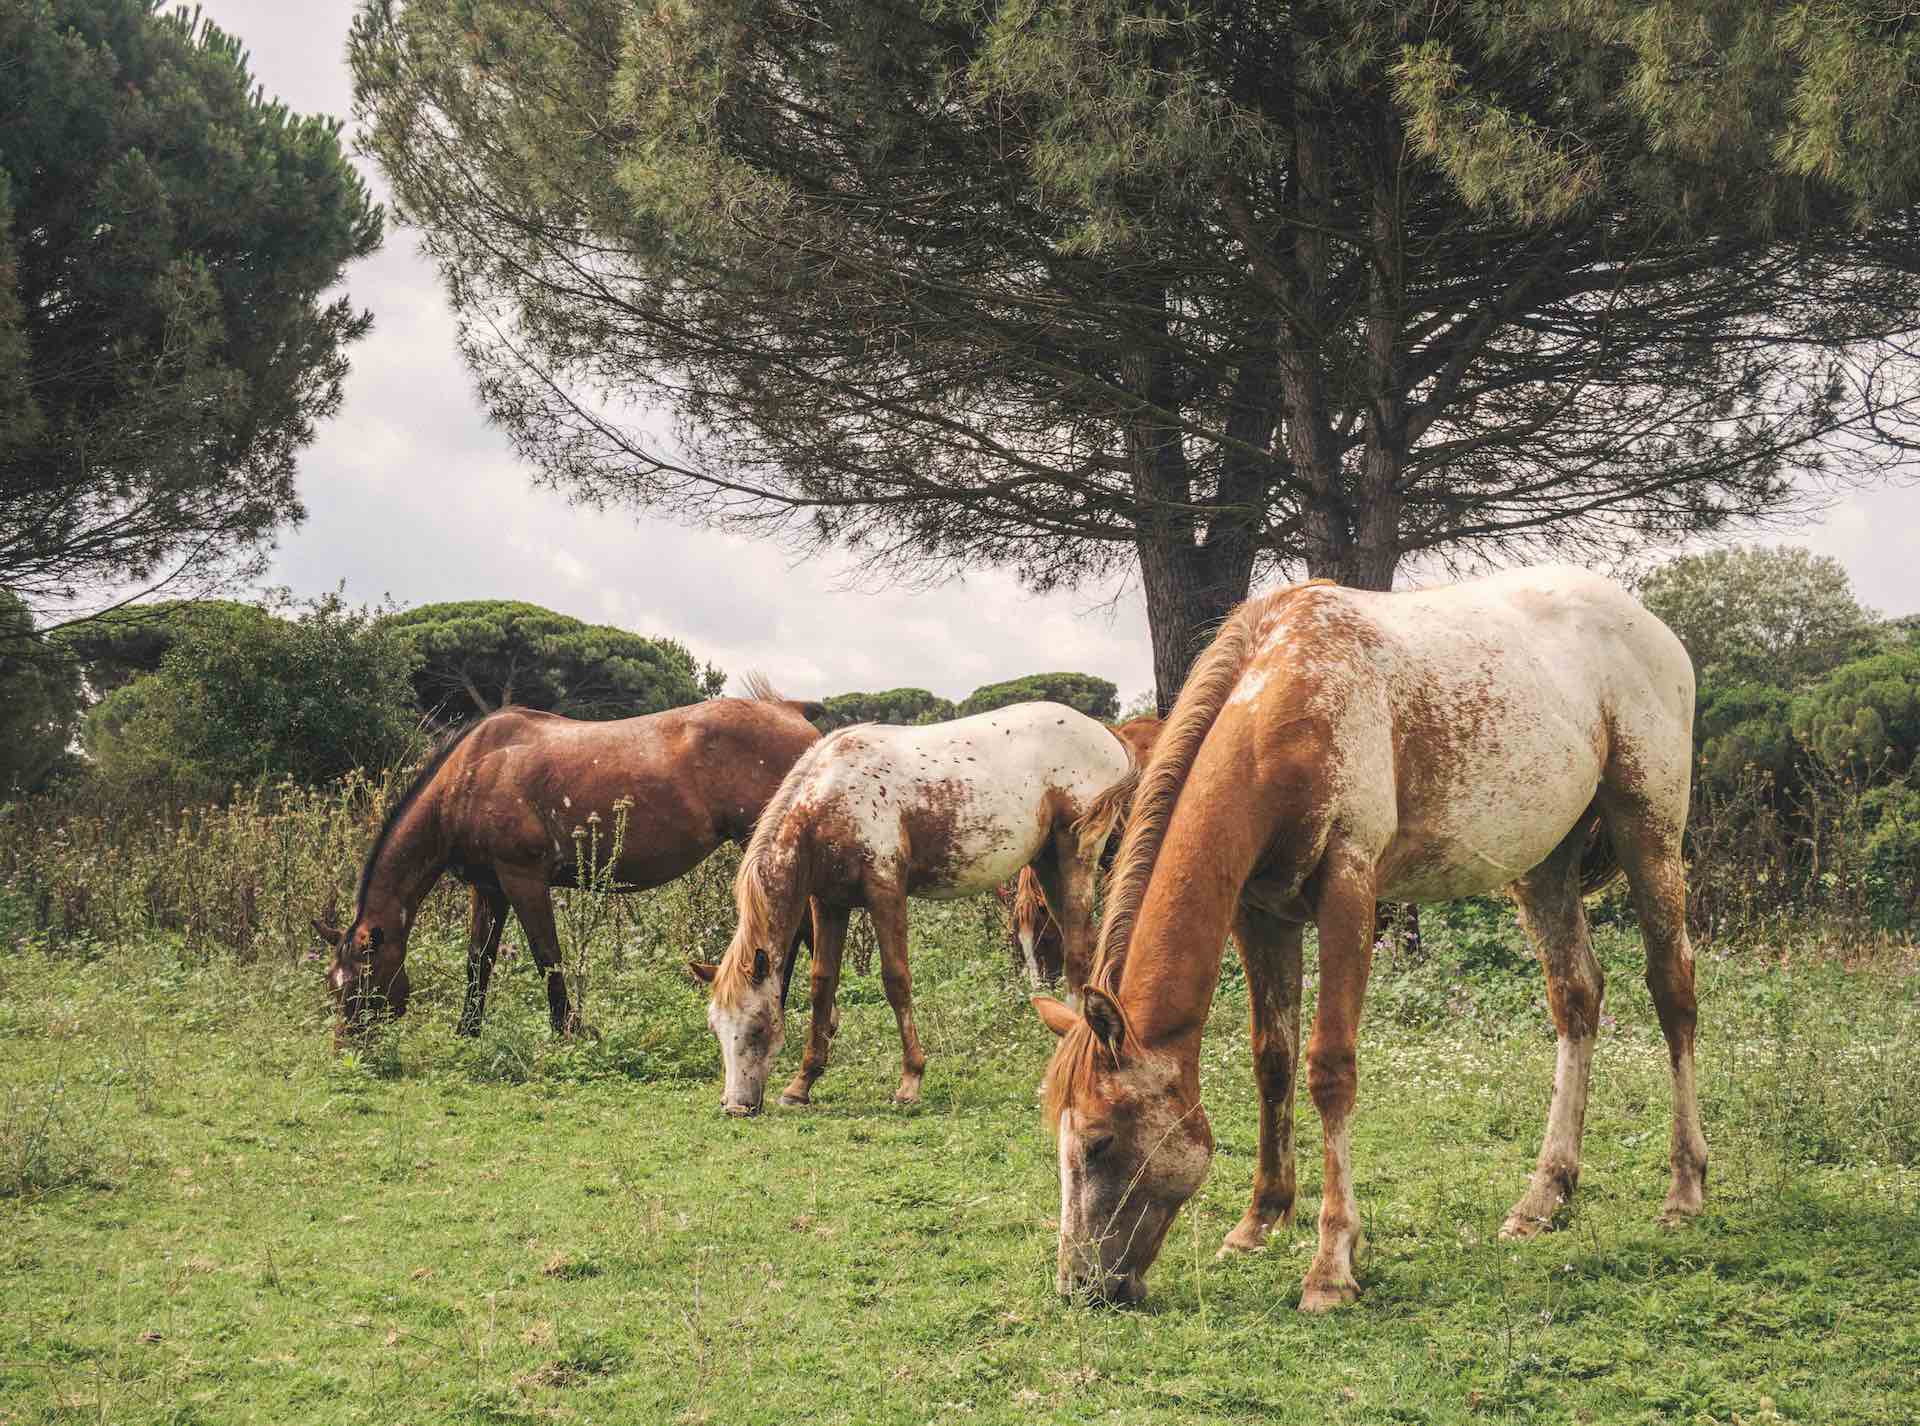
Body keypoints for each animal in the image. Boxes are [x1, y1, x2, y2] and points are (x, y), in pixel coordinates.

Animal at [316, 679, 825, 1036]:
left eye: (360, 983)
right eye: (331, 982)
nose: (349, 1050)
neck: (470, 774)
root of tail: (792, 711)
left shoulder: (523, 879)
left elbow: (548, 957)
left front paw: (569, 1031)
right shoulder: (489, 887)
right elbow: (479, 960)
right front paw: (468, 1031)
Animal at [691, 702, 1136, 1113]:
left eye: (756, 1028)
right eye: (714, 1028)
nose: (734, 1106)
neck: (830, 798)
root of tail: (1104, 732)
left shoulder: (885, 894)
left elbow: (896, 981)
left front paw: (910, 1082)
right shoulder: (829, 903)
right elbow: (822, 984)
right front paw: (802, 1083)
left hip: (1076, 856)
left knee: (1077, 955)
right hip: (1047, 863)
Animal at [1036, 568, 1697, 1312]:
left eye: (1098, 1142)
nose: (1080, 1287)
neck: (1287, 704)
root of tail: (1647, 623)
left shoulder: (1349, 890)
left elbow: (1329, 1069)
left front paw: (1330, 1265)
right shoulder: (1260, 913)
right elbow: (1273, 1060)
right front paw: (1260, 1220)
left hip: (1649, 832)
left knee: (1673, 990)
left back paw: (1684, 1191)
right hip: (1544, 864)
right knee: (1577, 998)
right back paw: (1543, 1199)